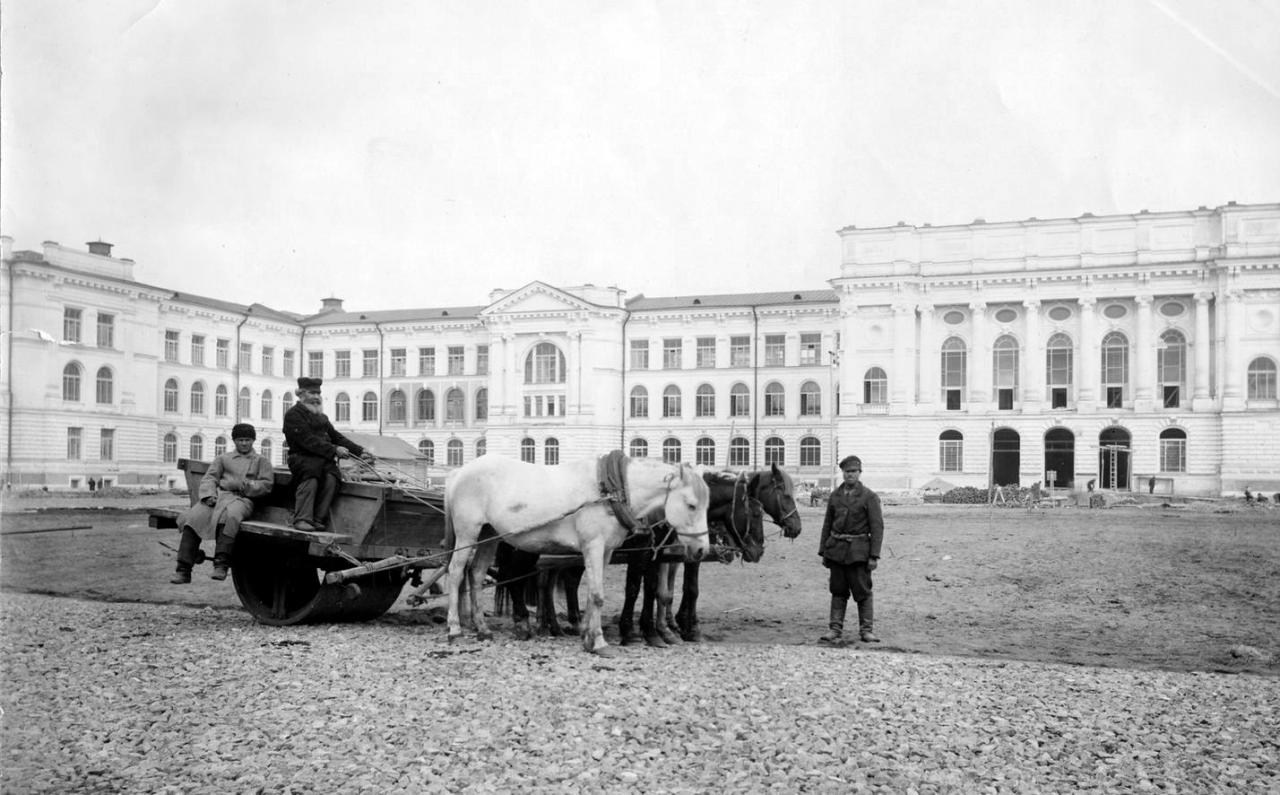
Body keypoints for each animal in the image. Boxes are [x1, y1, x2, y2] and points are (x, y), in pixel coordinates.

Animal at [448, 453, 716, 650]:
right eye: (691, 505)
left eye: (707, 506)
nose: (702, 549)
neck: (609, 492)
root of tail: (459, 472)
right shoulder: (594, 546)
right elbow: (597, 595)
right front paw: (598, 642)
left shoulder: (606, 551)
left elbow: (593, 594)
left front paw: (587, 634)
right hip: (468, 532)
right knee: (456, 573)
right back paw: (455, 628)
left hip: (488, 535)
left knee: (476, 573)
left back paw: (482, 628)